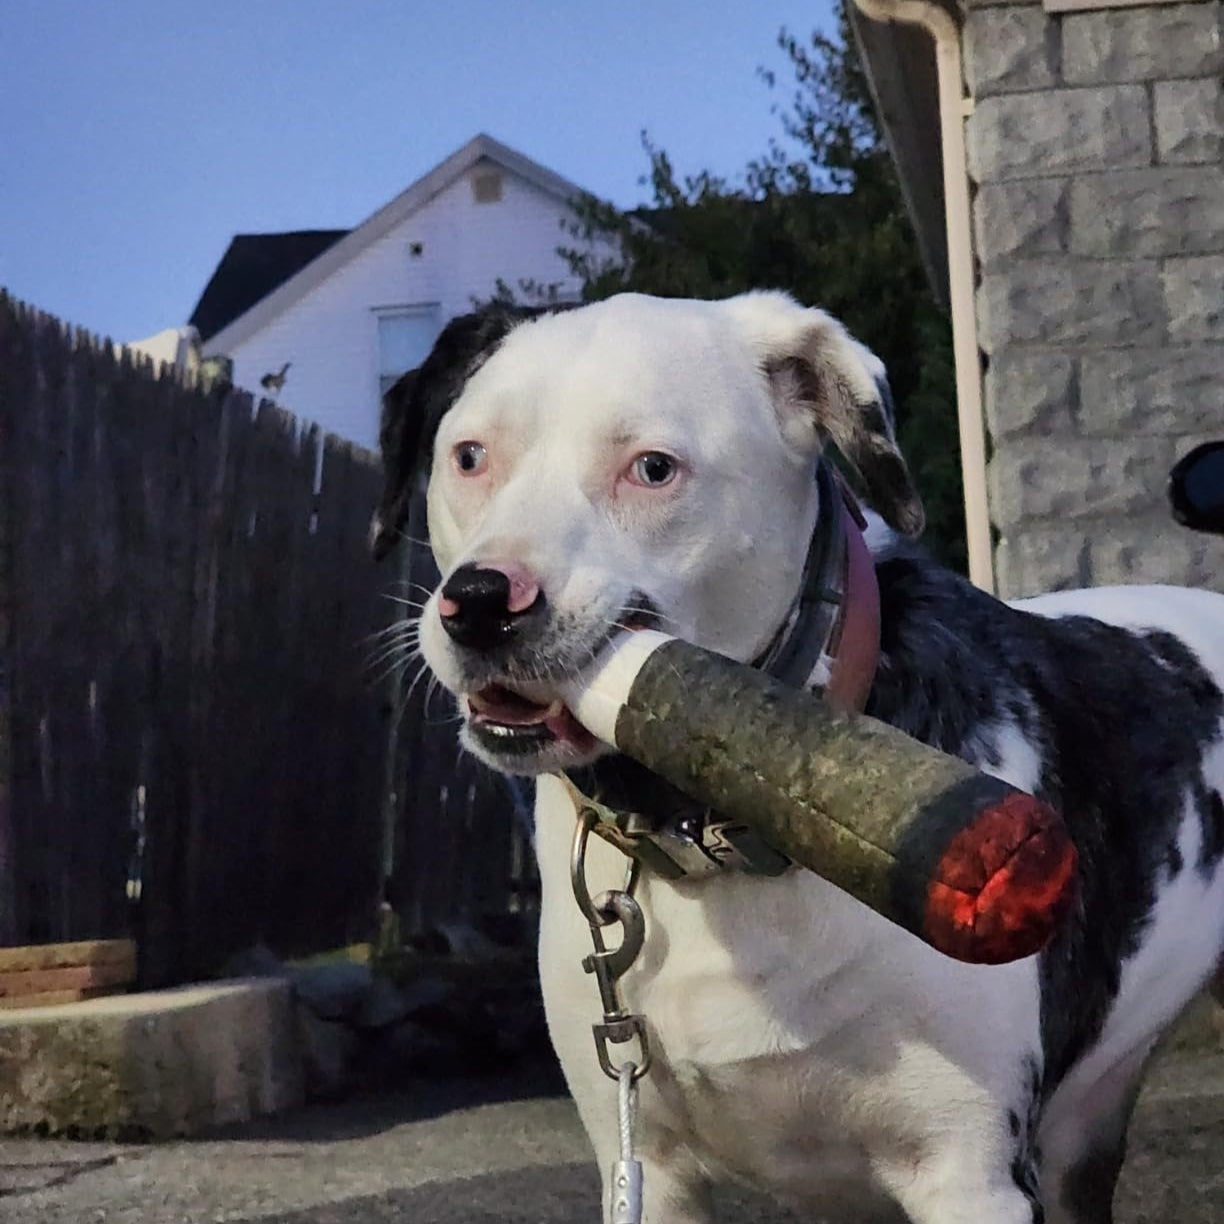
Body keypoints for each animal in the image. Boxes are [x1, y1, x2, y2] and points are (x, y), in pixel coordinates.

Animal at [372, 293, 1224, 1224]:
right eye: (469, 456)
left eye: (654, 469)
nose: (482, 604)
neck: (717, 836)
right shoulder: (646, 1168)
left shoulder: (972, 1175)